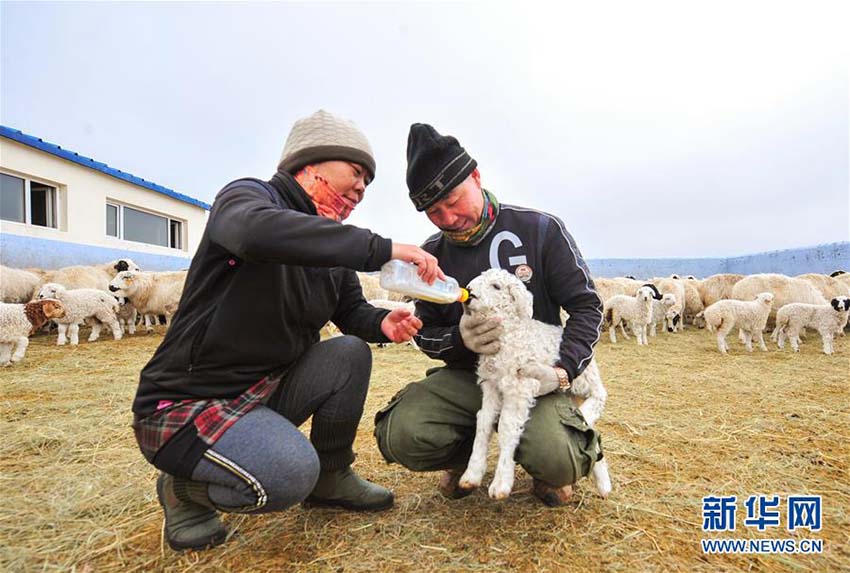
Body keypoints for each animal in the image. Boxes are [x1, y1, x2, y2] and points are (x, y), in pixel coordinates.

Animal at [454, 268, 608, 496]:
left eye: (496, 286)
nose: (470, 294)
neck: (508, 333)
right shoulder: (491, 385)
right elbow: (483, 421)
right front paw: (472, 474)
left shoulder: (518, 386)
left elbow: (507, 425)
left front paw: (501, 482)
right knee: (593, 432)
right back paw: (604, 482)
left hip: (584, 376)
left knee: (599, 395)